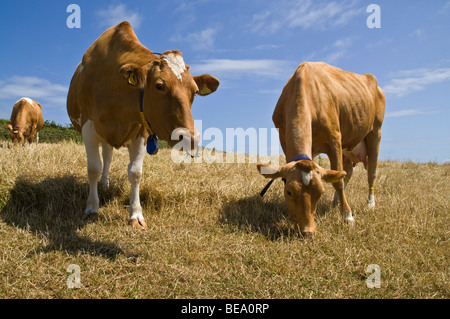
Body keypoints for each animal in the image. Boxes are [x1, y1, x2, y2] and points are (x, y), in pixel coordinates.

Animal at [67, 20, 220, 230]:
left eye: (195, 91)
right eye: (159, 85)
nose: (190, 138)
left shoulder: (141, 132)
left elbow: (135, 172)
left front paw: (136, 215)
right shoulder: (88, 127)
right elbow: (93, 168)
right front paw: (91, 209)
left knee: (108, 155)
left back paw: (105, 184)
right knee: (105, 159)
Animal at [258, 62, 384, 238]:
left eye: (320, 193)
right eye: (289, 192)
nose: (308, 232)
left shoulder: (334, 139)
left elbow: (338, 181)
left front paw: (348, 216)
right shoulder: (284, 139)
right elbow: (338, 175)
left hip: (375, 132)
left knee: (371, 172)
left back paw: (370, 203)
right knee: (346, 171)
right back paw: (336, 201)